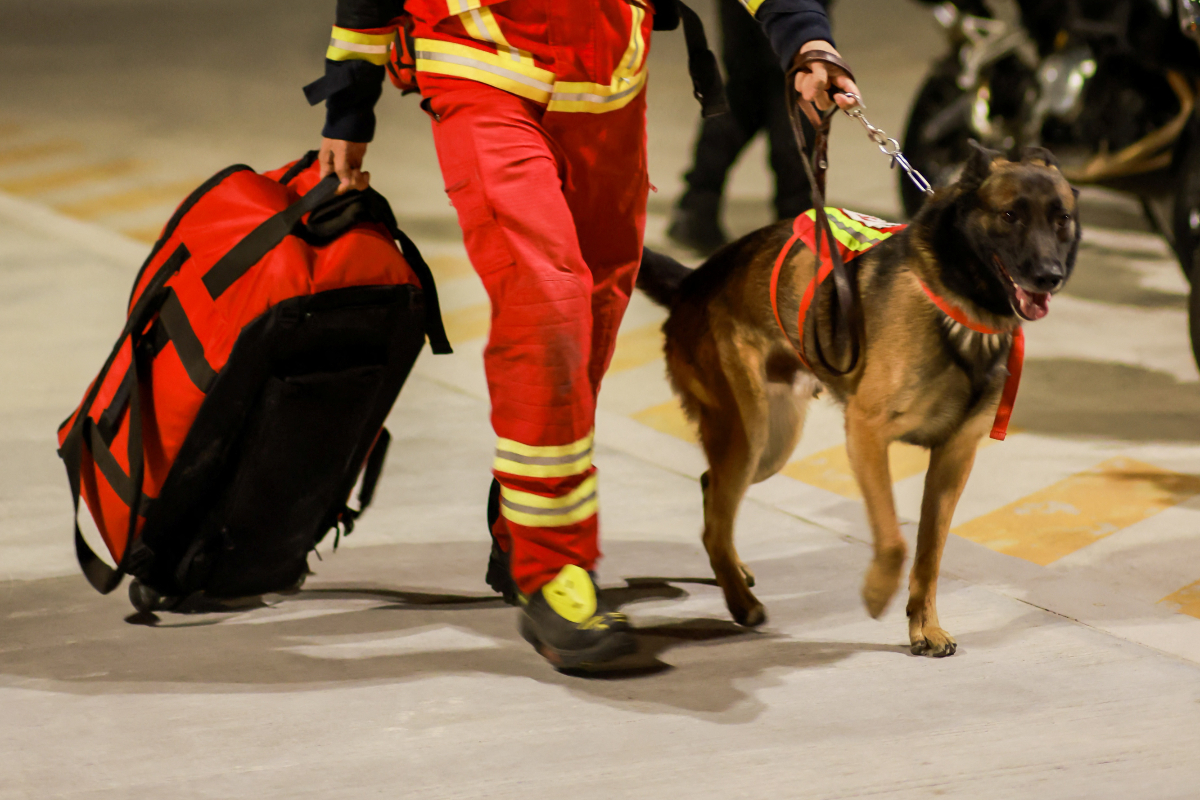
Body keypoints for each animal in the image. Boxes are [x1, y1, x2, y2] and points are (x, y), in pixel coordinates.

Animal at [638, 143, 1080, 657]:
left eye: (1061, 219)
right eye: (1009, 215)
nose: (1049, 276)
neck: (957, 300)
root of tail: (693, 281)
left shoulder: (954, 458)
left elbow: (930, 553)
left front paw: (924, 626)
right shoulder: (867, 434)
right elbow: (894, 540)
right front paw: (876, 592)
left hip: (770, 445)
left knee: (714, 492)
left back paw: (734, 573)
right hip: (747, 434)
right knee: (715, 517)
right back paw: (740, 603)